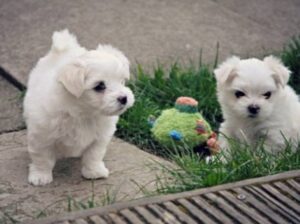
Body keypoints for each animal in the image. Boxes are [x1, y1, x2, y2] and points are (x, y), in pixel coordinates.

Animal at [23, 29, 135, 186]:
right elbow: (42, 158)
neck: (83, 113)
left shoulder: (100, 137)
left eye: (122, 81)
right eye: (99, 86)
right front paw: (40, 175)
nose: (124, 98)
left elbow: (94, 155)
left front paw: (94, 171)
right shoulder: (41, 136)